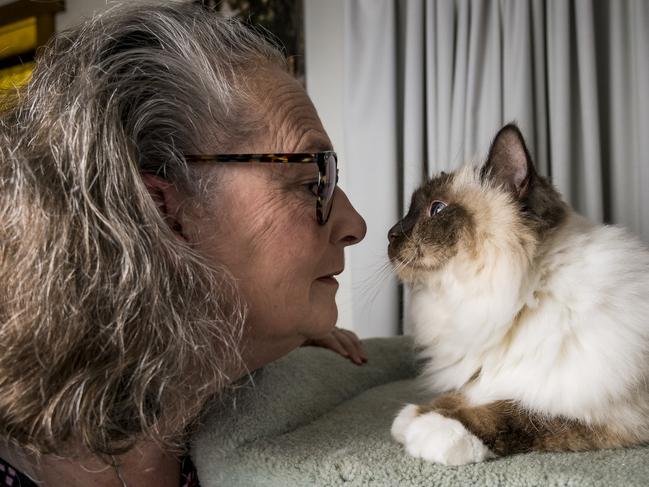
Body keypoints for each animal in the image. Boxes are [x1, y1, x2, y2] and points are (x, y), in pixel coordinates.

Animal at [388, 124, 648, 468]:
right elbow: (465, 392)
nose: (390, 234)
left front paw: (437, 428)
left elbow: (518, 411)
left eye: (437, 209)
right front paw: (416, 415)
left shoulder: (611, 411)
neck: (527, 297)